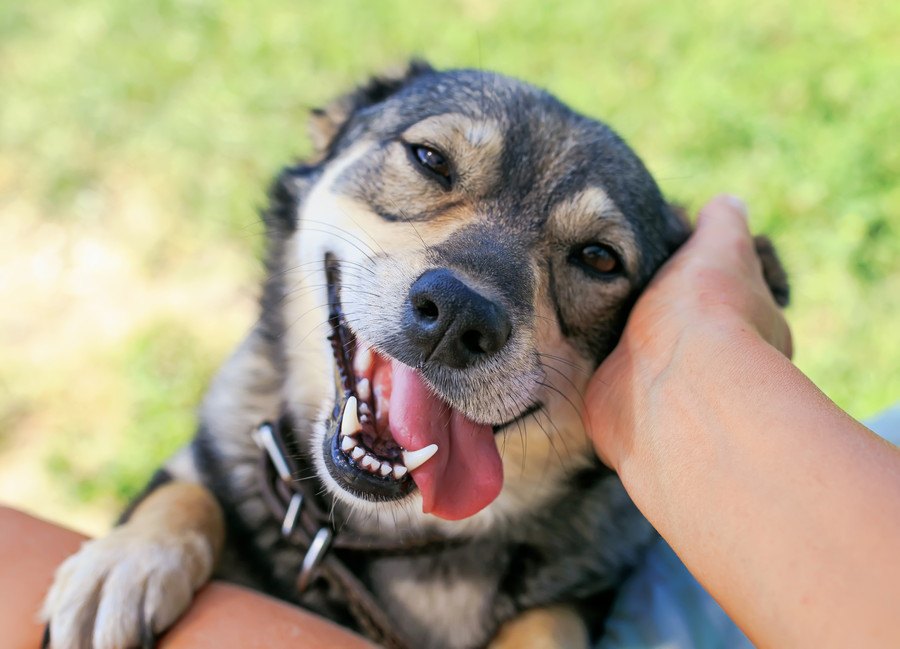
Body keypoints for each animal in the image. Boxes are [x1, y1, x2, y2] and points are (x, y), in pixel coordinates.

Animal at [42, 62, 788, 648]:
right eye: (429, 159)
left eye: (599, 258)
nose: (458, 315)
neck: (389, 532)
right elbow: (186, 492)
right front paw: (127, 561)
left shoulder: (586, 589)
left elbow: (549, 620)